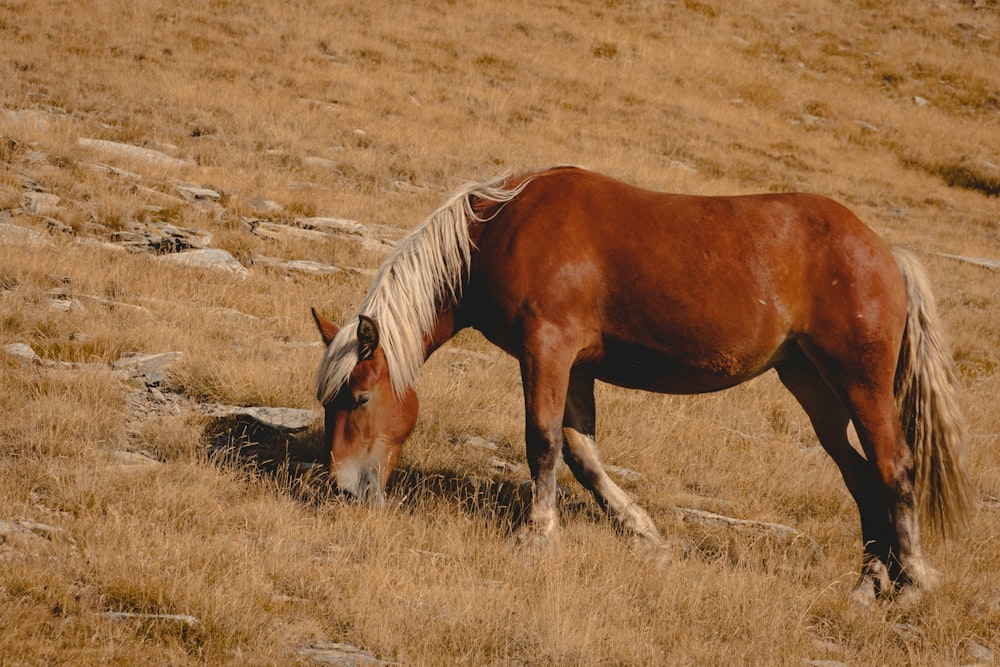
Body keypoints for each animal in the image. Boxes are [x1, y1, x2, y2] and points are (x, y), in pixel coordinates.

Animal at [312, 164, 968, 604]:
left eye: (360, 398)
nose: (343, 490)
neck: (502, 228)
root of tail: (885, 251)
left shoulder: (547, 350)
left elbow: (542, 441)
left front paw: (537, 535)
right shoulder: (576, 366)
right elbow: (582, 453)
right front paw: (645, 535)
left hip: (861, 385)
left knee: (895, 468)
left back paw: (912, 583)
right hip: (814, 388)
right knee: (860, 476)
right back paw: (869, 582)